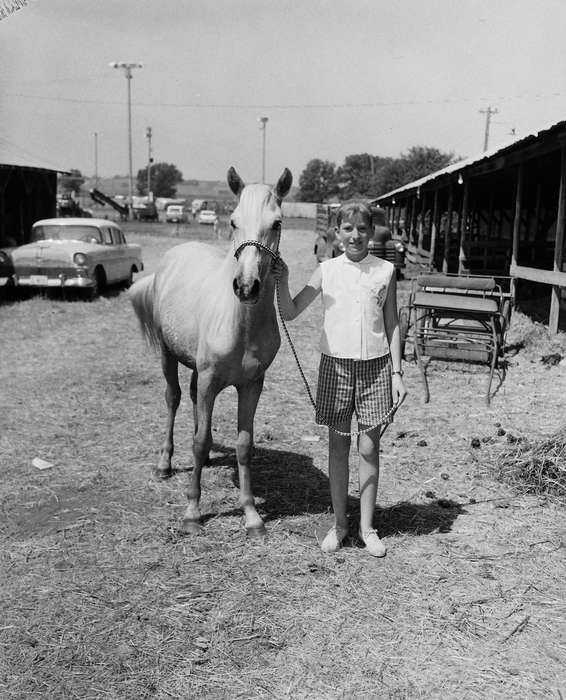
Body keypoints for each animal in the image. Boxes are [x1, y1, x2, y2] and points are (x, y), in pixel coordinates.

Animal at [130, 166, 293, 537]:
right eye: (232, 221)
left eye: (277, 223)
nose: (246, 287)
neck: (240, 325)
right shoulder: (209, 381)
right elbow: (201, 440)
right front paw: (192, 512)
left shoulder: (252, 385)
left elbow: (244, 444)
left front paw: (252, 515)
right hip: (168, 354)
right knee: (174, 398)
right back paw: (165, 463)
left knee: (190, 400)